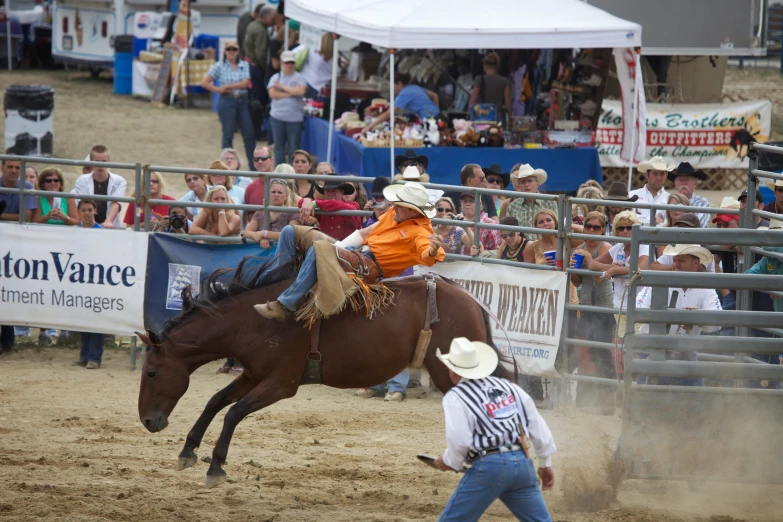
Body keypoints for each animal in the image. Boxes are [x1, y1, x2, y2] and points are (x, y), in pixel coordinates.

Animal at [136, 254, 516, 486]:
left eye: (151, 372)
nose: (148, 421)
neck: (254, 321)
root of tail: (469, 299)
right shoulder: (253, 374)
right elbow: (216, 402)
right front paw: (187, 452)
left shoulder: (282, 383)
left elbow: (234, 412)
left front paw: (215, 467)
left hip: (449, 370)